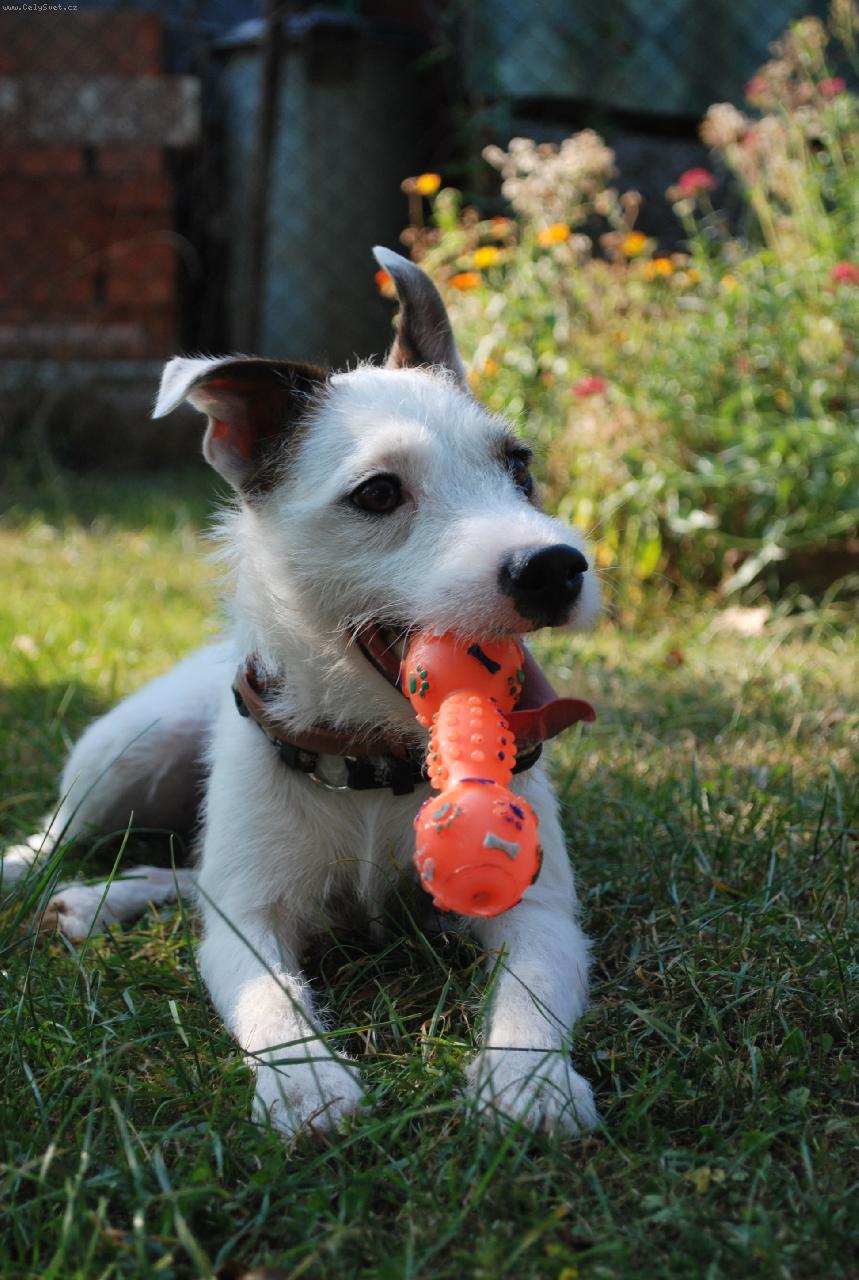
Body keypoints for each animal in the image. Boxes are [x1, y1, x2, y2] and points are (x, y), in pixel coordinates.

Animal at [1, 248, 601, 1141]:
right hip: (126, 756)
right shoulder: (247, 925)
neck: (375, 758)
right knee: (66, 838)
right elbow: (268, 994)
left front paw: (528, 1077)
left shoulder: (538, 911)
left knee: (189, 874)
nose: (555, 568)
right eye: (378, 493)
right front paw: (305, 1080)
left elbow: (533, 984)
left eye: (518, 465)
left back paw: (109, 898)